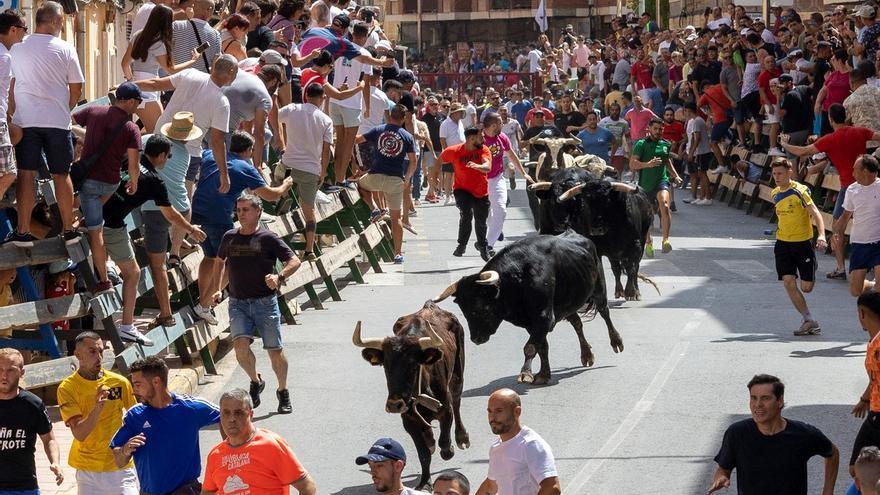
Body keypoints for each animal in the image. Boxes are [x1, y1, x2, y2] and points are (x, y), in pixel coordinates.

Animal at [354, 300, 470, 490]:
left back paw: (462, 438)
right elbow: (424, 453)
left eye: (413, 365)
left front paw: (448, 449)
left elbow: (444, 443)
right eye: (385, 365)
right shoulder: (409, 421)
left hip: (458, 373)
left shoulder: (446, 410)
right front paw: (425, 482)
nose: (395, 404)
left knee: (457, 400)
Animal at [430, 231, 624, 386]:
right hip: (567, 306)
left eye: (482, 308)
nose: (477, 339)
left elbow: (530, 347)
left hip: (599, 288)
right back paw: (587, 355)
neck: (518, 279)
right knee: (577, 323)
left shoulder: (544, 318)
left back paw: (616, 342)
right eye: (464, 310)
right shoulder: (533, 323)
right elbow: (542, 346)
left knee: (605, 312)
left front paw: (525, 374)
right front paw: (544, 374)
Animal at [528, 170, 660, 302]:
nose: (596, 229)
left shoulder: (636, 246)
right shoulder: (599, 249)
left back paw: (634, 291)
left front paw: (631, 292)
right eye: (586, 202)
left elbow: (632, 268)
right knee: (616, 269)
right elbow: (606, 270)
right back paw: (618, 290)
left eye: (607, 201)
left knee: (633, 267)